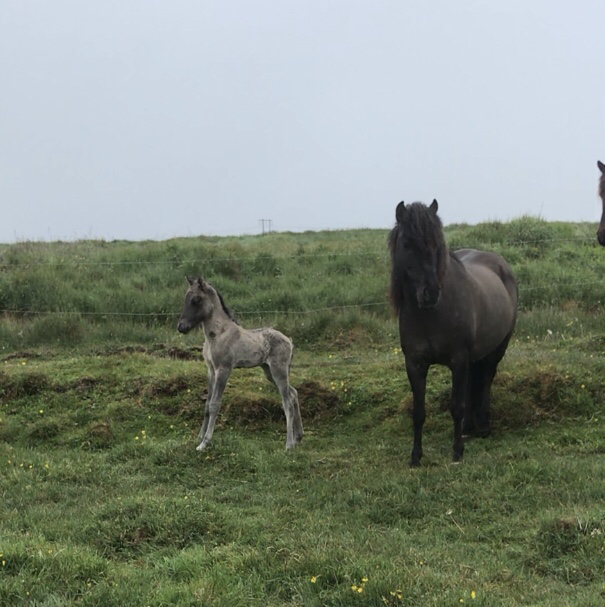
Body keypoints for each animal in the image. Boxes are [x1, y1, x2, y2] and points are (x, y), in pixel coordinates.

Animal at [177, 276, 304, 452]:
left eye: (196, 300)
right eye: (185, 298)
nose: (181, 327)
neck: (218, 334)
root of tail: (289, 341)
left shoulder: (224, 369)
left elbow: (215, 404)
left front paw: (205, 443)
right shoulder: (211, 370)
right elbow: (207, 404)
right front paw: (200, 436)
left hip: (279, 371)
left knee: (287, 403)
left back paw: (289, 445)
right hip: (269, 372)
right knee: (293, 393)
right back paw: (299, 437)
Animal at [390, 202, 516, 468]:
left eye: (437, 244)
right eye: (406, 243)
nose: (430, 293)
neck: (431, 315)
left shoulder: (458, 360)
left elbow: (456, 405)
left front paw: (457, 452)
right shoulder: (414, 364)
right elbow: (419, 411)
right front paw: (415, 456)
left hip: (497, 348)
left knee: (487, 378)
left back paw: (483, 425)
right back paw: (468, 428)